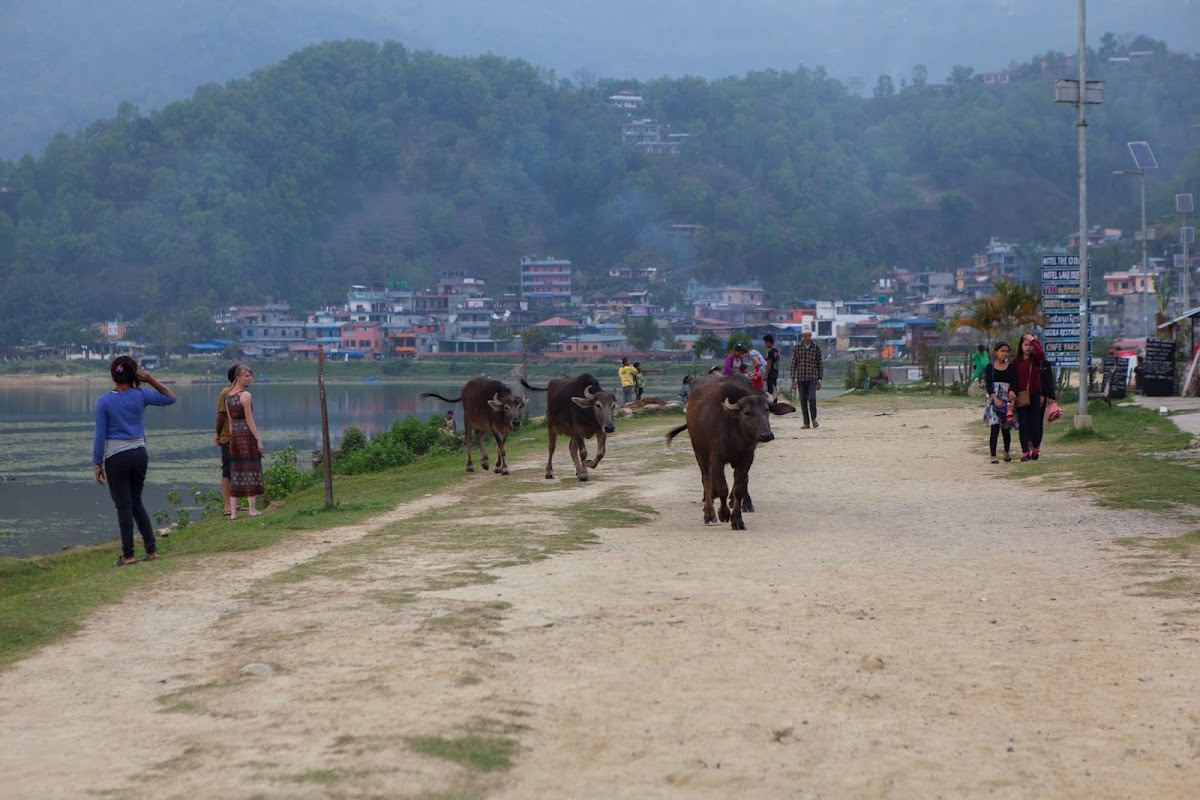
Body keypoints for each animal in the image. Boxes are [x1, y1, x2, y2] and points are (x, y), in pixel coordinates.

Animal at [667, 376, 796, 527]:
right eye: (746, 412)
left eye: (766, 410)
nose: (766, 435)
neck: (735, 433)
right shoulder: (716, 458)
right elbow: (723, 488)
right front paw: (723, 514)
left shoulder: (746, 458)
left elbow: (739, 488)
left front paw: (738, 519)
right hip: (700, 453)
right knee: (706, 479)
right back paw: (709, 512)